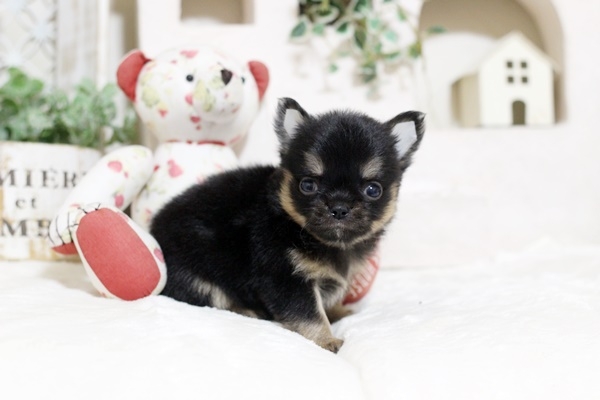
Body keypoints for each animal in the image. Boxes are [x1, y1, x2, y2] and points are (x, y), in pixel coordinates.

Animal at [149, 98, 425, 353]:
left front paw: (337, 311)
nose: (339, 207)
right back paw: (248, 311)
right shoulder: (286, 278)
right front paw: (327, 340)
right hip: (197, 277)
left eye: (373, 190)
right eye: (308, 185)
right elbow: (310, 313)